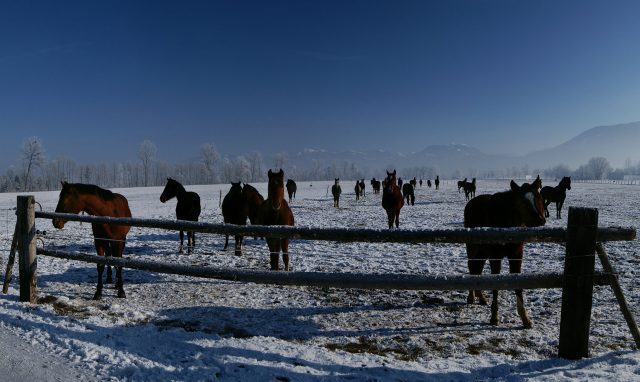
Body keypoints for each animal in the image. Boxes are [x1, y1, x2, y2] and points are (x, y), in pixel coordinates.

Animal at [462, 177, 548, 328]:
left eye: (539, 196)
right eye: (521, 201)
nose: (539, 219)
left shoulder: (516, 255)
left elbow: (518, 285)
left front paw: (525, 318)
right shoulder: (495, 257)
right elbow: (495, 285)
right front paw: (494, 317)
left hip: (482, 252)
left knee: (478, 269)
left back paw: (481, 296)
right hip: (473, 249)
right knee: (472, 268)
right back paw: (472, 296)